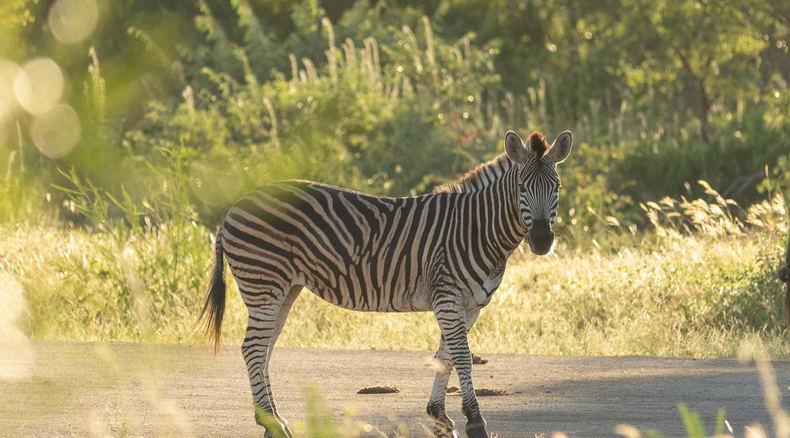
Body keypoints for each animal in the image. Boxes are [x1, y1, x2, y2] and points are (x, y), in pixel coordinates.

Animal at [200, 129, 573, 438]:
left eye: (556, 188)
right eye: (522, 189)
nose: (542, 241)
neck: (476, 228)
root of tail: (236, 206)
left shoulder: (468, 305)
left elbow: (446, 357)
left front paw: (440, 418)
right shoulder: (448, 296)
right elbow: (462, 357)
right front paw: (474, 422)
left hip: (284, 290)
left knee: (263, 349)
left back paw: (273, 422)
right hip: (264, 285)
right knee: (252, 348)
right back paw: (273, 424)